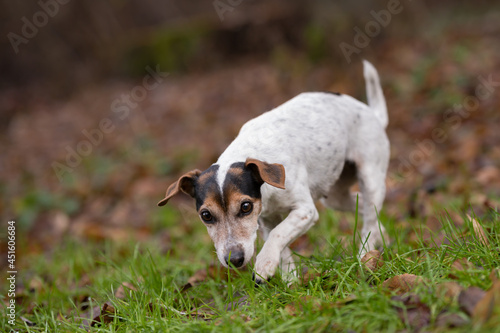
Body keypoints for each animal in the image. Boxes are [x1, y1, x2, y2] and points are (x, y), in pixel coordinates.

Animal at [158, 59, 388, 282]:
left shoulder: (305, 211)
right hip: (334, 197)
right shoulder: (266, 219)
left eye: (245, 207)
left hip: (370, 178)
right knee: (364, 206)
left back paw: (365, 255)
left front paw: (264, 263)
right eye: (206, 215)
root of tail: (373, 114)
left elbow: (279, 234)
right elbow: (281, 245)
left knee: (369, 218)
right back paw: (381, 236)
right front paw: (289, 279)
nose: (235, 259)